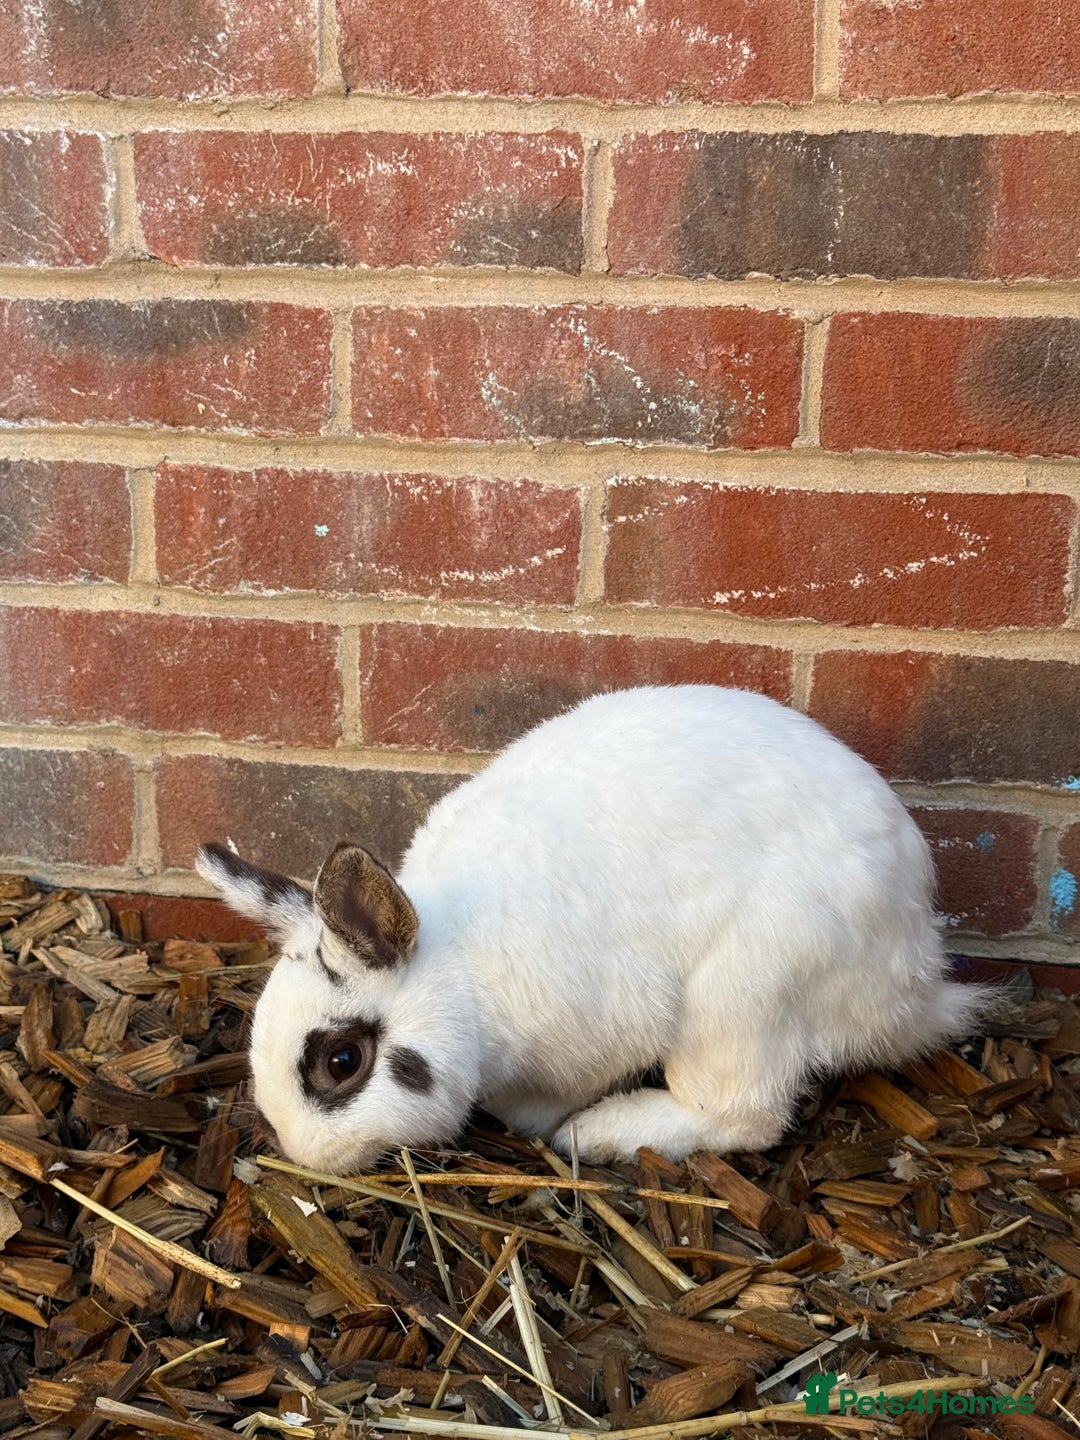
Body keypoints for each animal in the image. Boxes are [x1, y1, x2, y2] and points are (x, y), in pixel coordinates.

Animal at [197, 683, 993, 1176]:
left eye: (342, 1063)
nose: (302, 1152)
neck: (463, 976)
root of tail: (912, 979)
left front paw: (545, 1121)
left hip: (743, 995)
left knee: (745, 1115)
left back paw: (604, 1132)